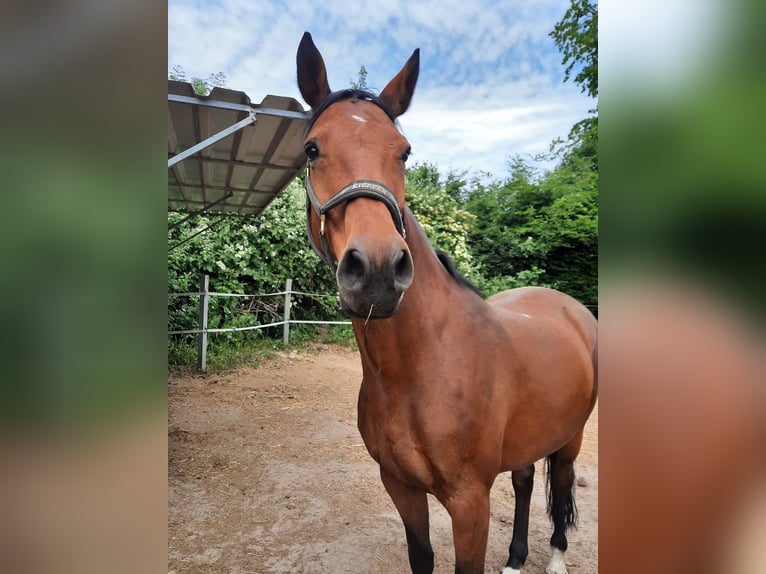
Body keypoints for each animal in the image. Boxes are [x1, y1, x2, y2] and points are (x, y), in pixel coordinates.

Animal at [294, 32, 600, 574]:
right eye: (313, 149)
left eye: (404, 152)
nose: (377, 269)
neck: (420, 367)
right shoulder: (400, 487)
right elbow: (422, 556)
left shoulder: (469, 502)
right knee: (525, 481)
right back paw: (515, 560)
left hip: (571, 438)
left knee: (561, 487)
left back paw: (556, 559)